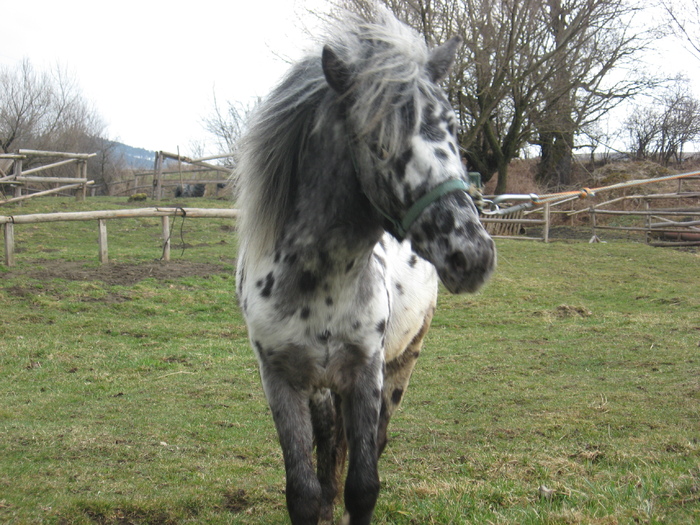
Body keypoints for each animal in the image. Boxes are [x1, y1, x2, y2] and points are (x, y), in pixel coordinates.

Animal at [235, 8, 498, 524]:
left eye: (453, 129)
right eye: (378, 142)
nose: (472, 255)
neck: (319, 284)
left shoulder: (365, 373)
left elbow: (363, 485)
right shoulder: (281, 381)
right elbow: (304, 490)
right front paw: (320, 505)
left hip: (402, 363)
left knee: (373, 441)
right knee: (327, 445)